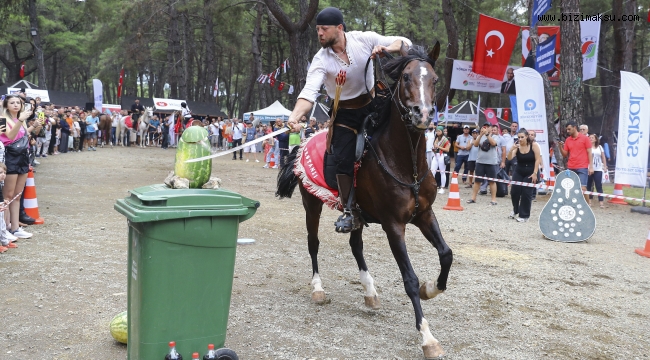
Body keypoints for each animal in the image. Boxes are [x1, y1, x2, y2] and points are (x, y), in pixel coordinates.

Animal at [276, 43, 454, 358]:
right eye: (406, 77)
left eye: (434, 79)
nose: (422, 114)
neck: (405, 163)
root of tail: (305, 140)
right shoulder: (394, 225)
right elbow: (408, 278)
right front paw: (427, 337)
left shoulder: (425, 214)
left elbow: (446, 254)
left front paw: (431, 288)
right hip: (312, 205)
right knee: (313, 243)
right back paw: (318, 289)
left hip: (356, 213)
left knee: (355, 245)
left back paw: (370, 291)